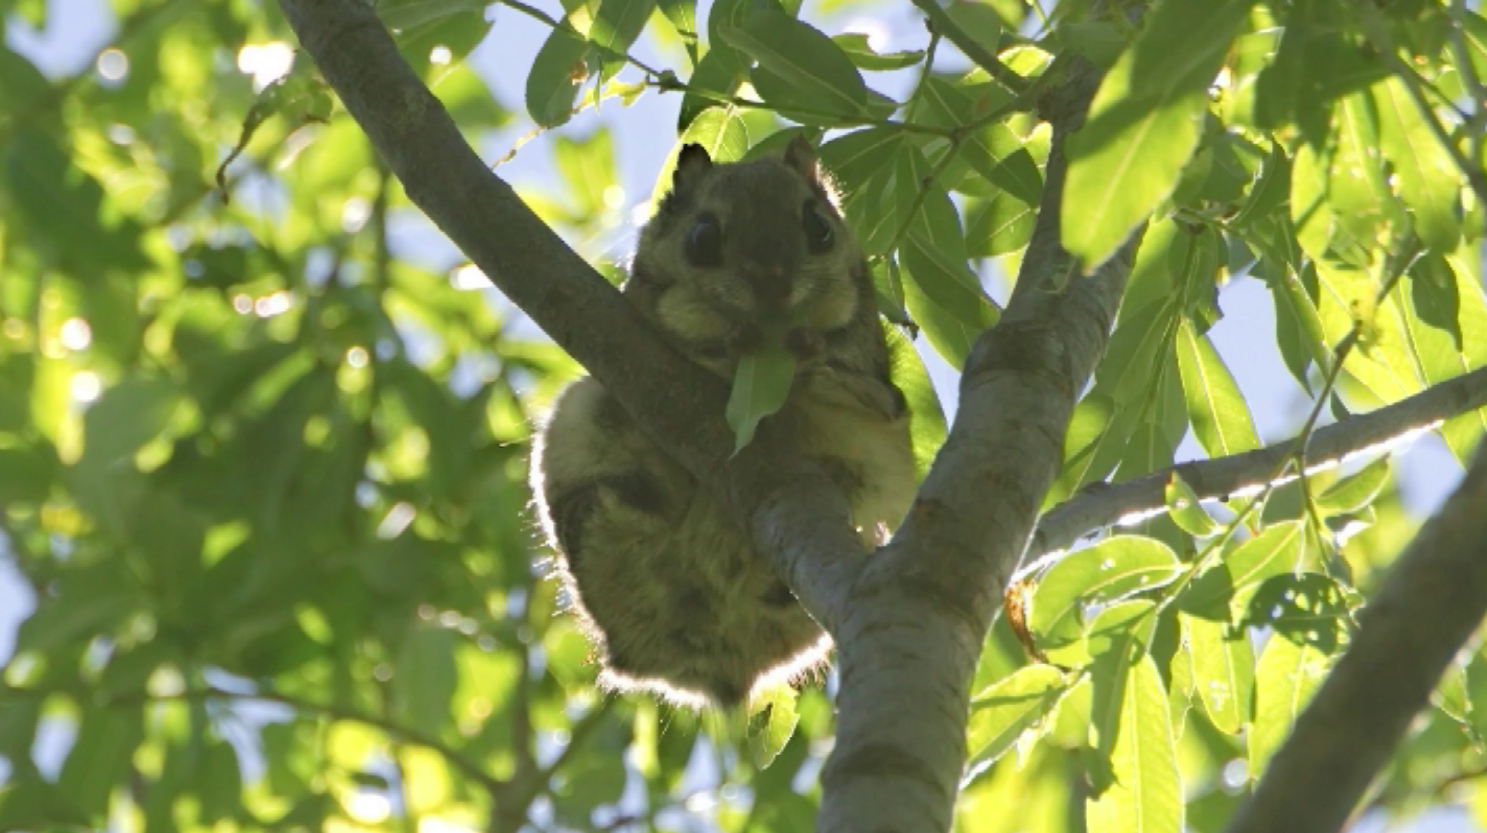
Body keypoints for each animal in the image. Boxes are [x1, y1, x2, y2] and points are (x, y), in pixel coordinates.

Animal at [529, 137, 916, 707]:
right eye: (702, 237)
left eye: (819, 227)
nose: (773, 283)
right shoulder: (641, 317)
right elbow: (679, 326)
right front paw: (729, 341)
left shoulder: (875, 381)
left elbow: (855, 381)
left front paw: (810, 352)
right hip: (578, 421)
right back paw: (619, 500)